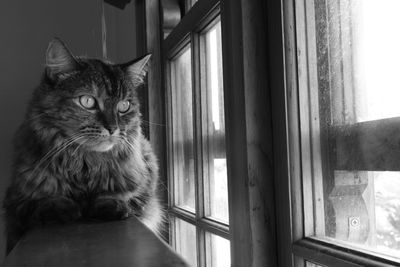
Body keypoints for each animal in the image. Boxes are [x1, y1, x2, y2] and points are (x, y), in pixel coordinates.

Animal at [2, 38, 162, 254]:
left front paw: (109, 205)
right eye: (87, 101)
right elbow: (42, 202)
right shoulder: (15, 204)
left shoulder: (144, 188)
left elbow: (121, 196)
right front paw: (60, 207)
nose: (113, 128)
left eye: (124, 106)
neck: (85, 164)